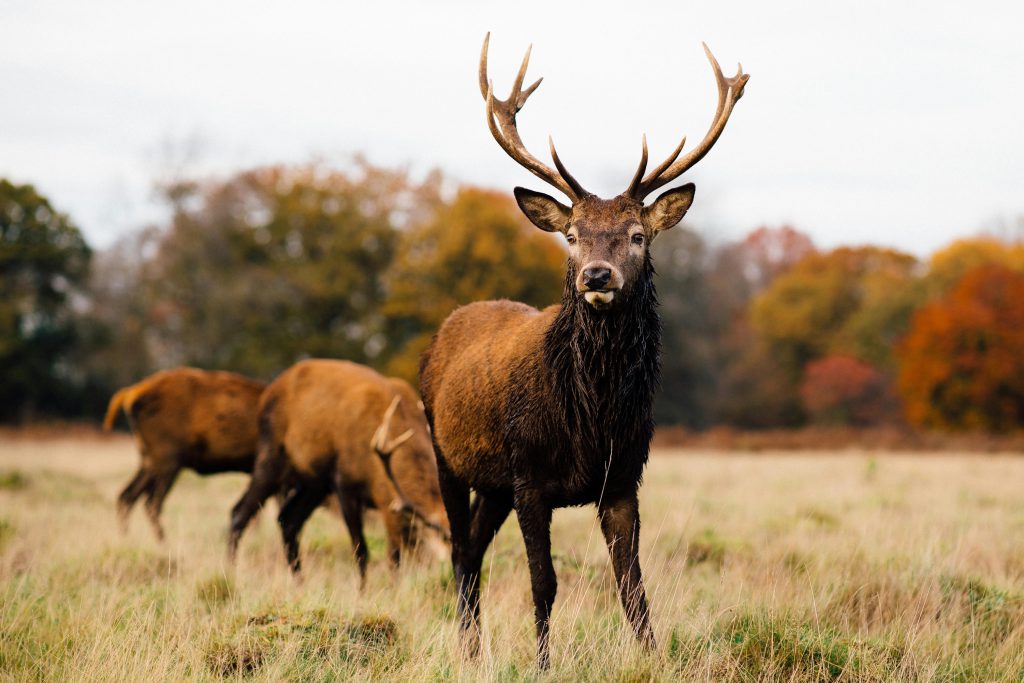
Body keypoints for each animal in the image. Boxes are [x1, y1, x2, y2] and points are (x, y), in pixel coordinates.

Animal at [103, 368, 267, 541]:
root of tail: (131, 394)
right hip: (168, 461)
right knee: (151, 503)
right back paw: (164, 541)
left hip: (149, 461)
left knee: (127, 496)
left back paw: (127, 537)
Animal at [227, 359, 450, 581]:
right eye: (445, 540)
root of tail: (267, 392)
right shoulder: (344, 483)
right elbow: (362, 551)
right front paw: (363, 589)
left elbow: (395, 556)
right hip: (271, 453)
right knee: (240, 512)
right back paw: (231, 573)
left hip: (314, 483)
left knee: (288, 520)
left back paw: (300, 581)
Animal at [418, 34, 748, 668]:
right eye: (571, 236)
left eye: (637, 236)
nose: (596, 274)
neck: (590, 419)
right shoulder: (529, 477)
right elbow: (543, 582)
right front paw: (542, 665)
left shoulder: (622, 479)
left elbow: (633, 585)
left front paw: (652, 660)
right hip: (446, 455)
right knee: (460, 550)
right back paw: (468, 650)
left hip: (492, 484)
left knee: (471, 547)